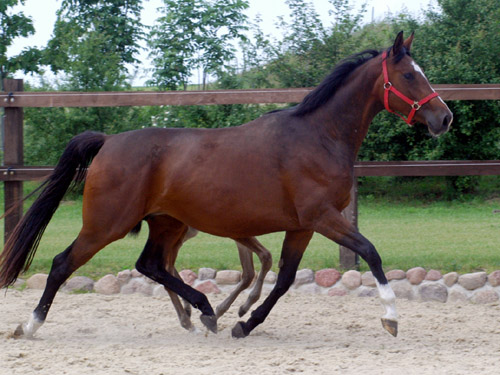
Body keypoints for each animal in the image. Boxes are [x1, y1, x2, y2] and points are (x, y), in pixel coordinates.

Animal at [0, 31, 454, 338]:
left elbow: (284, 278)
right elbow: (370, 253)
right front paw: (391, 318)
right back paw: (31, 325)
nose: (444, 118)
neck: (318, 136)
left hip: (165, 223)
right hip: (106, 224)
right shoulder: (323, 217)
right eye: (409, 75)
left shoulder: (303, 226)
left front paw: (245, 324)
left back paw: (204, 311)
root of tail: (109, 142)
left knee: (151, 265)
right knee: (63, 264)